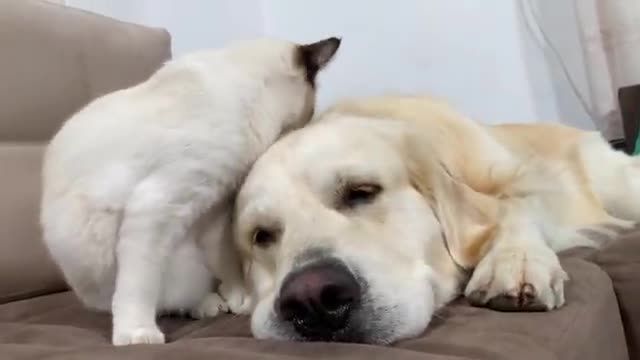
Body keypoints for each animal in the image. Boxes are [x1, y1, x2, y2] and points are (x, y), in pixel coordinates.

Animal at [39, 35, 340, 346]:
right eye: (311, 112)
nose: (307, 124)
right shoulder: (160, 204)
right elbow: (139, 285)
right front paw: (137, 335)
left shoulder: (215, 208)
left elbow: (225, 261)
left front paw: (239, 299)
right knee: (160, 298)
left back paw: (212, 304)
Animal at [235, 94, 640, 344]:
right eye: (261, 236)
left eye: (362, 191)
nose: (312, 299)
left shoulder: (536, 183)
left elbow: (515, 208)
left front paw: (514, 261)